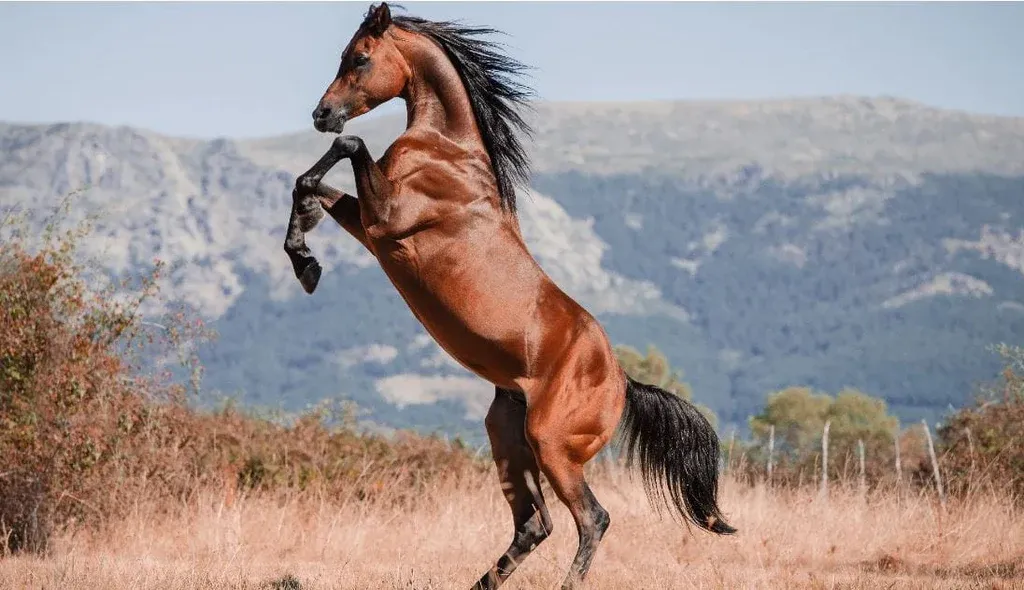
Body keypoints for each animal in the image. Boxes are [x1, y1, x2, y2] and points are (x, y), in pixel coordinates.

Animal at [282, 4, 736, 588]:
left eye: (359, 57)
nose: (322, 114)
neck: (447, 151)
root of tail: (622, 382)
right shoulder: (373, 228)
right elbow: (310, 185)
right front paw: (305, 262)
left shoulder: (387, 221)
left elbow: (348, 148)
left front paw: (305, 257)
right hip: (507, 435)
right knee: (533, 525)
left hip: (551, 446)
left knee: (592, 519)